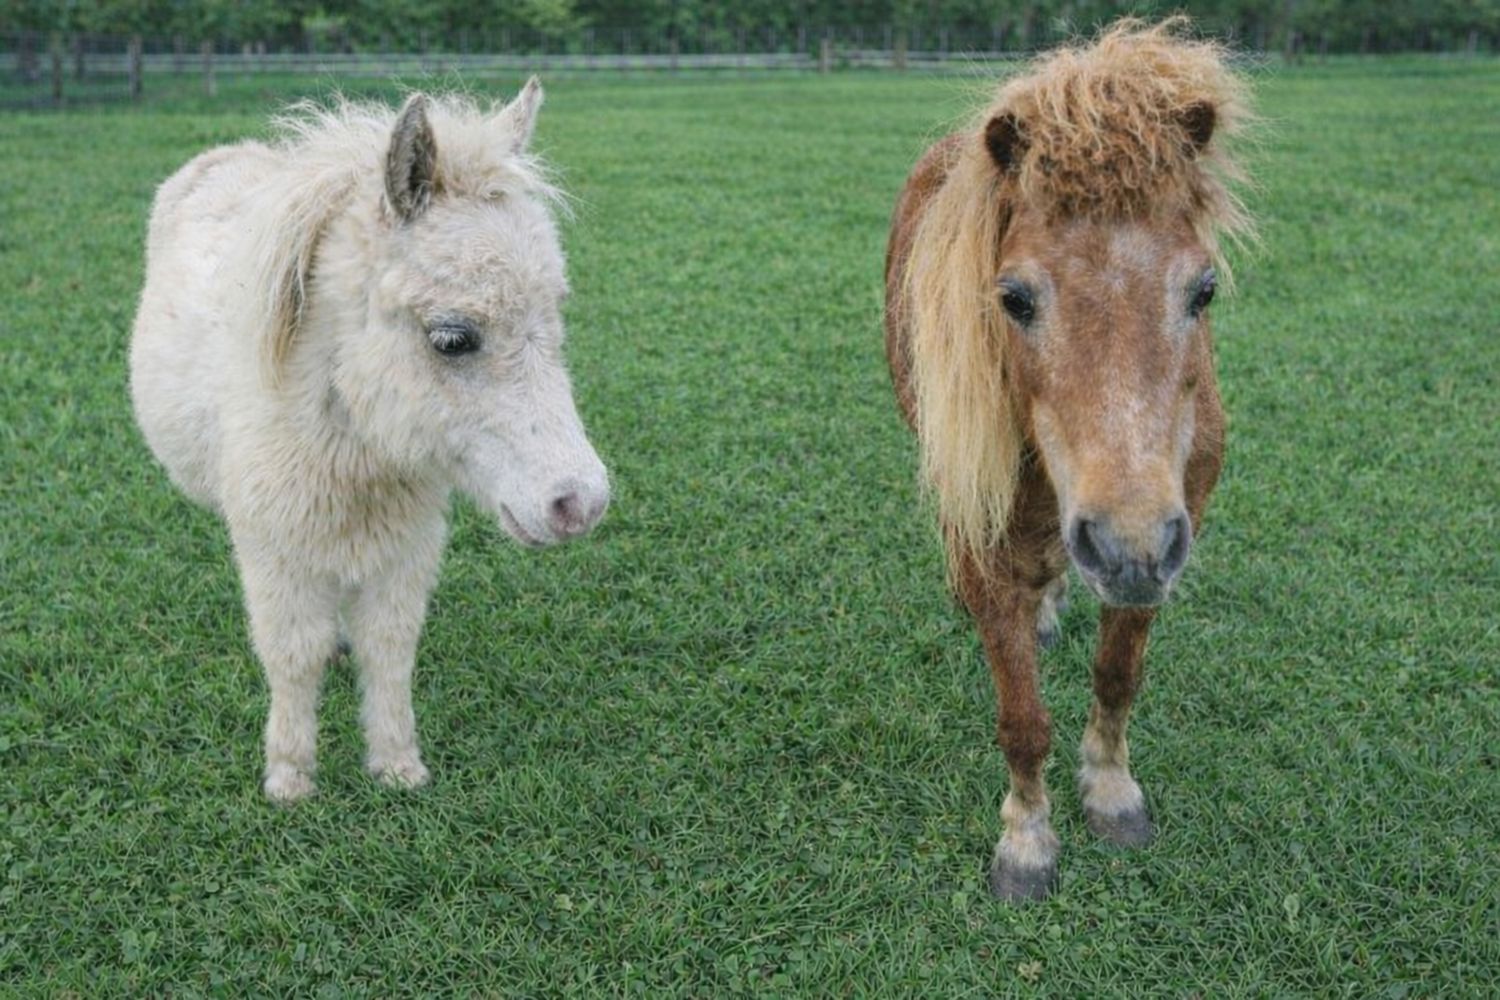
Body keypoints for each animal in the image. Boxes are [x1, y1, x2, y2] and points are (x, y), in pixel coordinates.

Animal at [129, 80, 610, 802]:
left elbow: (389, 648)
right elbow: (291, 653)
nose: (580, 503)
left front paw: (397, 767)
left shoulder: (406, 546)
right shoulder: (276, 547)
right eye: (451, 337)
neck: (353, 443)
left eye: (555, 317)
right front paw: (291, 778)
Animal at [883, 20, 1254, 900]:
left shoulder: (1170, 528)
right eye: (1013, 298)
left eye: (1204, 290)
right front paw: (1026, 841)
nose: (1125, 544)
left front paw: (1113, 795)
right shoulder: (983, 536)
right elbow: (1022, 719)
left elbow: (1118, 674)